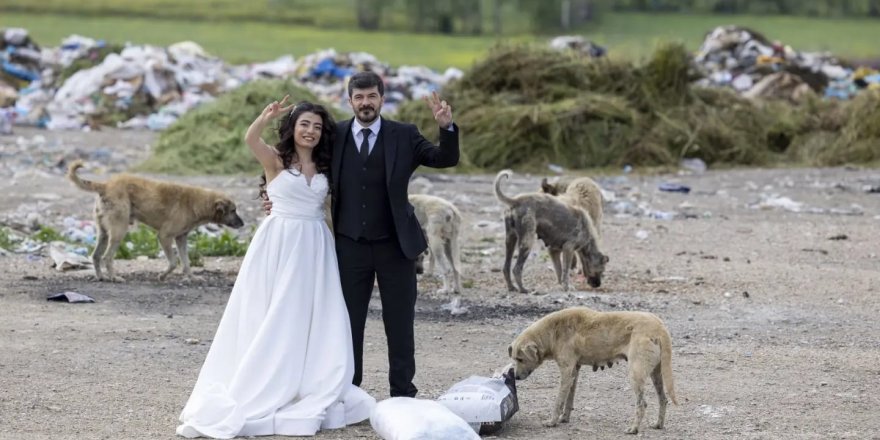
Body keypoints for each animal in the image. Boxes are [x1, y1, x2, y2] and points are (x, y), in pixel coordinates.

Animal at [65, 161, 246, 282]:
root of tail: (106, 185)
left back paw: (101, 277)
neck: (196, 203)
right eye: (233, 210)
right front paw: (162, 276)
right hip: (119, 231)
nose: (242, 224)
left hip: (103, 232)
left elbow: (186, 262)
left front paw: (191, 277)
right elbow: (173, 262)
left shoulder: (181, 238)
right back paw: (114, 277)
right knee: (107, 257)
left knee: (96, 256)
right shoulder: (164, 236)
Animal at [508, 306, 680, 434]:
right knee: (663, 399)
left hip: (635, 374)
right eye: (515, 358)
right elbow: (569, 399)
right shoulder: (574, 372)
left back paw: (633, 429)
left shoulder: (566, 372)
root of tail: (659, 327)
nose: (515, 377)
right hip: (656, 373)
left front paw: (552, 421)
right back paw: (658, 424)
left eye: (520, 359)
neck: (553, 331)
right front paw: (564, 418)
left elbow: (558, 401)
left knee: (642, 403)